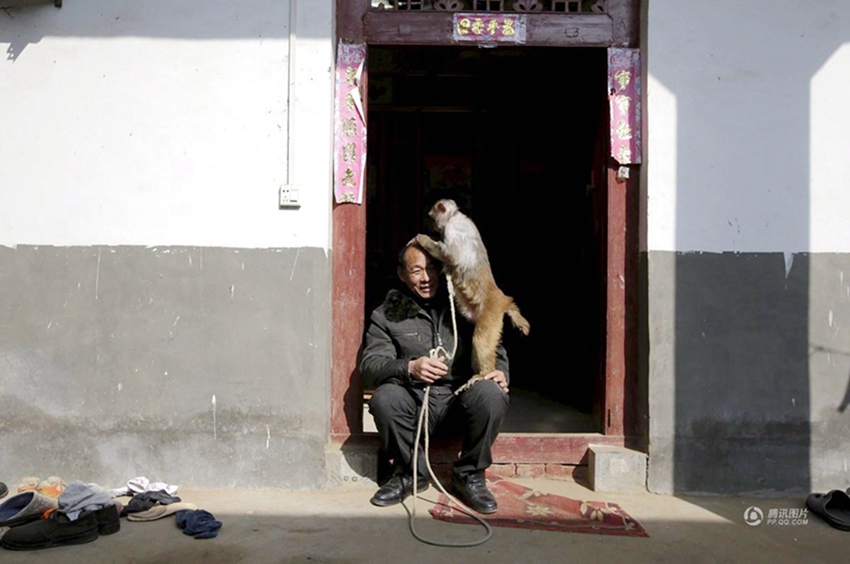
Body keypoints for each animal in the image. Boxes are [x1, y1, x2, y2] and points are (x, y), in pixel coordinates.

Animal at [414, 199, 528, 392]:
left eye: (430, 216)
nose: (429, 224)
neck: (454, 215)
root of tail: (502, 299)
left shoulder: (452, 229)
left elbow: (449, 254)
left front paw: (421, 239)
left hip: (490, 312)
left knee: (480, 341)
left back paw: (484, 374)